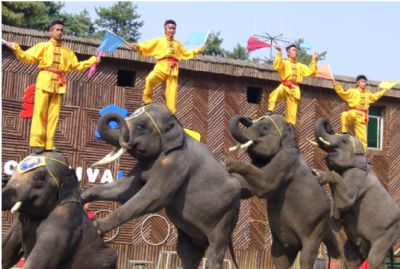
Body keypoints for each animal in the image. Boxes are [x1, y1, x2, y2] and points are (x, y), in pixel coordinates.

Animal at [81, 103, 241, 268]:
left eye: (141, 126)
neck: (179, 128)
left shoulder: (176, 162)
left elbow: (153, 196)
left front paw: (97, 226)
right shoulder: (148, 161)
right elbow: (128, 189)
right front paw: (83, 196)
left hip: (226, 218)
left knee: (214, 252)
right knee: (187, 252)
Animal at [222, 113, 340, 268]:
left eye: (264, 127)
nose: (247, 118)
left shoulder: (286, 159)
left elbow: (266, 184)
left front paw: (226, 162)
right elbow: (248, 188)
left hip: (317, 226)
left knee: (306, 257)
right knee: (279, 259)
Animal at [312, 116, 400, 268]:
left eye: (343, 140)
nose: (330, 128)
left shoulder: (356, 177)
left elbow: (346, 201)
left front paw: (318, 174)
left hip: (387, 234)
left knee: (374, 258)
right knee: (350, 256)